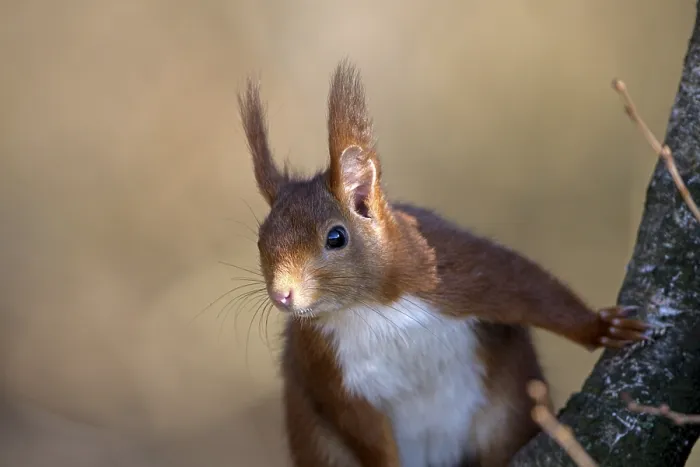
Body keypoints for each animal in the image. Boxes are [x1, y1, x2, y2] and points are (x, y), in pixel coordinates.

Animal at [237, 60, 651, 467]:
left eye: (336, 237)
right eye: (260, 241)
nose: (283, 295)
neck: (368, 308)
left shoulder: (453, 269)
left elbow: (530, 288)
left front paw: (602, 327)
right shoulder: (327, 369)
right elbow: (362, 432)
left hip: (505, 417)